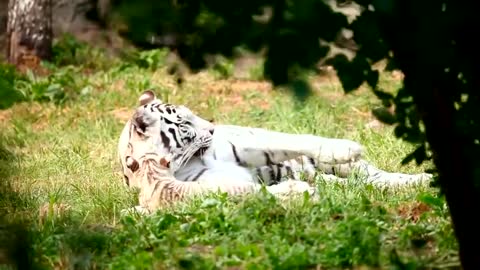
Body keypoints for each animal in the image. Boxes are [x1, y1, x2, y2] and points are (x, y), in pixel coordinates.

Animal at [118, 90, 434, 192]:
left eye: (191, 113)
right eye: (184, 123)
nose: (213, 128)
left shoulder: (242, 147)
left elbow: (289, 141)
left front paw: (343, 147)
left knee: (377, 176)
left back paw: (424, 180)